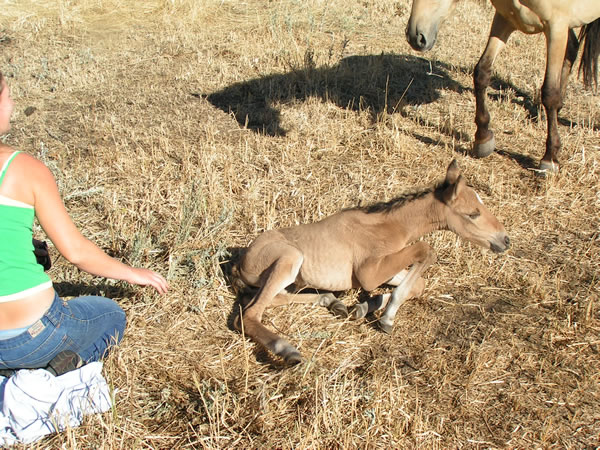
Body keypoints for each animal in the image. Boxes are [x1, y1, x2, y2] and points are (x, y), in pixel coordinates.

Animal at [234, 160, 510, 364]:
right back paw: (288, 350)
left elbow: (418, 284)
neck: (391, 224)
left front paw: (364, 307)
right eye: (473, 214)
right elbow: (426, 250)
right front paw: (386, 317)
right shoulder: (368, 272)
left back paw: (333, 302)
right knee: (249, 314)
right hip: (289, 259)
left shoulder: (385, 266)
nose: (504, 240)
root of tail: (240, 262)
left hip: (289, 279)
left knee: (272, 298)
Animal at [406, 0, 600, 172]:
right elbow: (482, 72)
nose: (415, 37)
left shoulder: (556, 27)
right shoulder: (505, 19)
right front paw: (483, 138)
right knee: (572, 48)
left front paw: (549, 158)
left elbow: (550, 93)